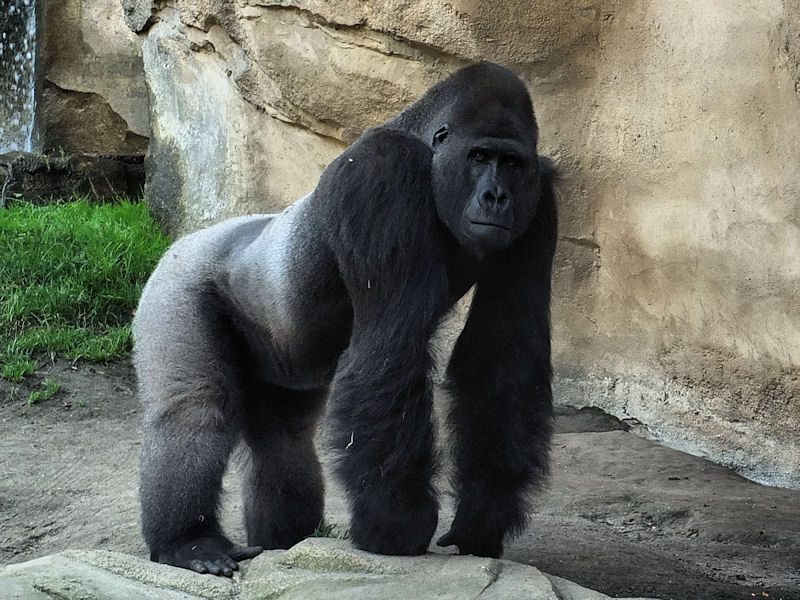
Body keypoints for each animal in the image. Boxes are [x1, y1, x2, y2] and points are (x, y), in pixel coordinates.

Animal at [134, 61, 556, 576]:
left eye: (512, 164)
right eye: (480, 156)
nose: (497, 196)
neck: (426, 151)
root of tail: (186, 239)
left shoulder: (541, 198)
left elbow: (502, 357)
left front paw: (482, 515)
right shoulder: (382, 173)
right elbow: (389, 352)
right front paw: (397, 523)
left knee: (282, 437)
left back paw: (285, 542)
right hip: (174, 283)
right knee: (194, 408)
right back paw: (187, 541)